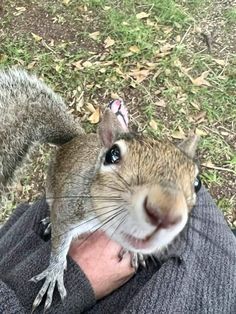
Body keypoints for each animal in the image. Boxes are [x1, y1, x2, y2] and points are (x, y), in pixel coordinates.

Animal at [0, 68, 203, 312]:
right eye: (112, 155)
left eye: (197, 183)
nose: (165, 212)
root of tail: (74, 140)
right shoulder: (69, 209)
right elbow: (59, 243)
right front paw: (54, 273)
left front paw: (135, 251)